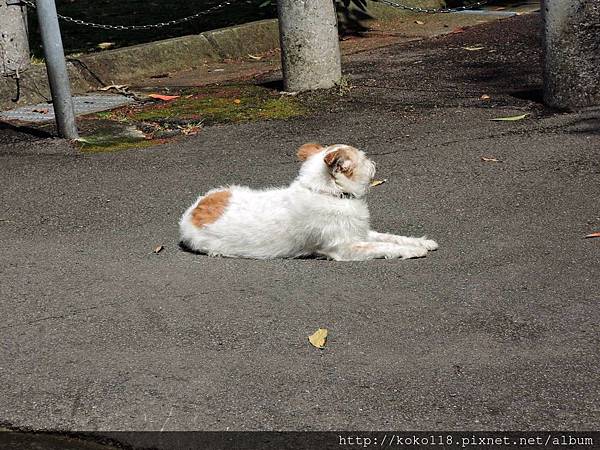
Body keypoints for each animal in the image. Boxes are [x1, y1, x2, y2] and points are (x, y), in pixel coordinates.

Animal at [178, 141, 436, 260]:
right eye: (364, 159)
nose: (375, 164)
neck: (330, 194)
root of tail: (192, 211)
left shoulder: (360, 232)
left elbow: (390, 236)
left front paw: (421, 242)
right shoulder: (346, 247)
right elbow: (383, 246)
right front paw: (411, 251)